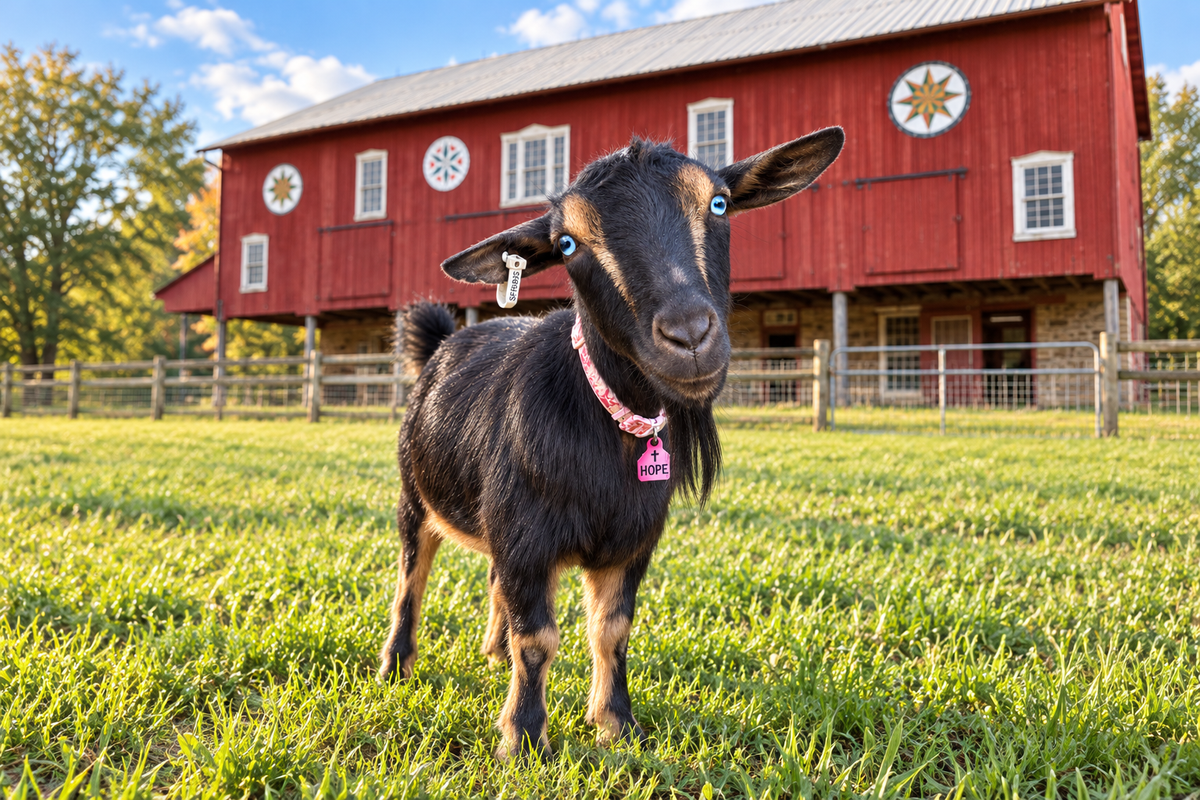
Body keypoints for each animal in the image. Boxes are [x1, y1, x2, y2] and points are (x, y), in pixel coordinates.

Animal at [380, 129, 844, 758]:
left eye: (719, 203)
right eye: (567, 243)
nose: (689, 334)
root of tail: (443, 341)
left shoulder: (629, 542)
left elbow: (611, 630)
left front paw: (616, 723)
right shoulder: (528, 538)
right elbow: (538, 638)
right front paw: (523, 739)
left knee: (494, 583)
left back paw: (492, 651)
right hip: (415, 494)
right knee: (412, 577)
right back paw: (396, 666)